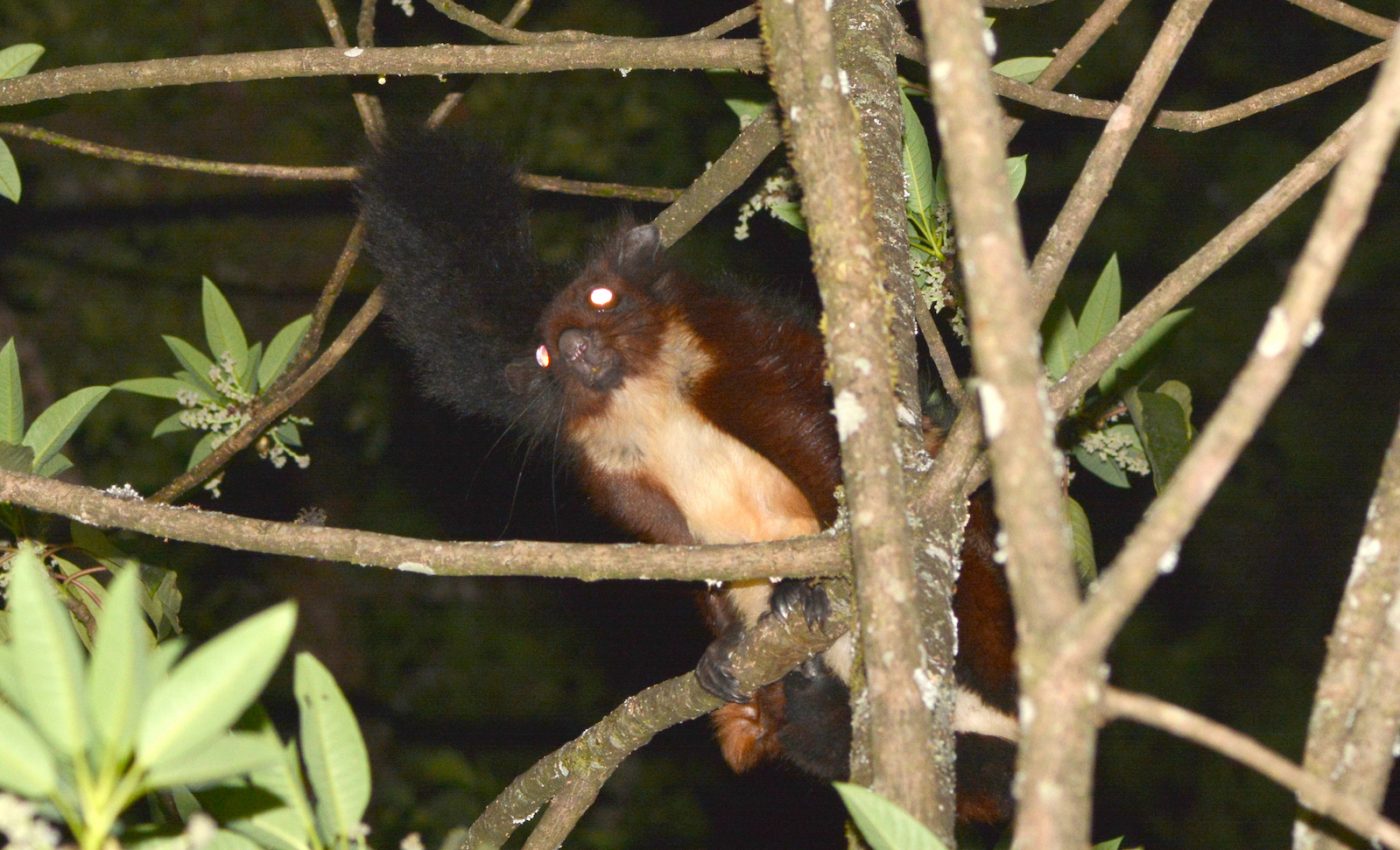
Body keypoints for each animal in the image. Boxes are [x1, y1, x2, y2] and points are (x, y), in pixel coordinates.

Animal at [357, 131, 1017, 825]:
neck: (646, 398)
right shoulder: (615, 470)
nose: (571, 346)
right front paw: (727, 644)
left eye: (601, 297)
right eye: (542, 353)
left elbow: (823, 443)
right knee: (817, 733)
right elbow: (676, 548)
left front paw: (818, 578)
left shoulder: (739, 350)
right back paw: (808, 695)